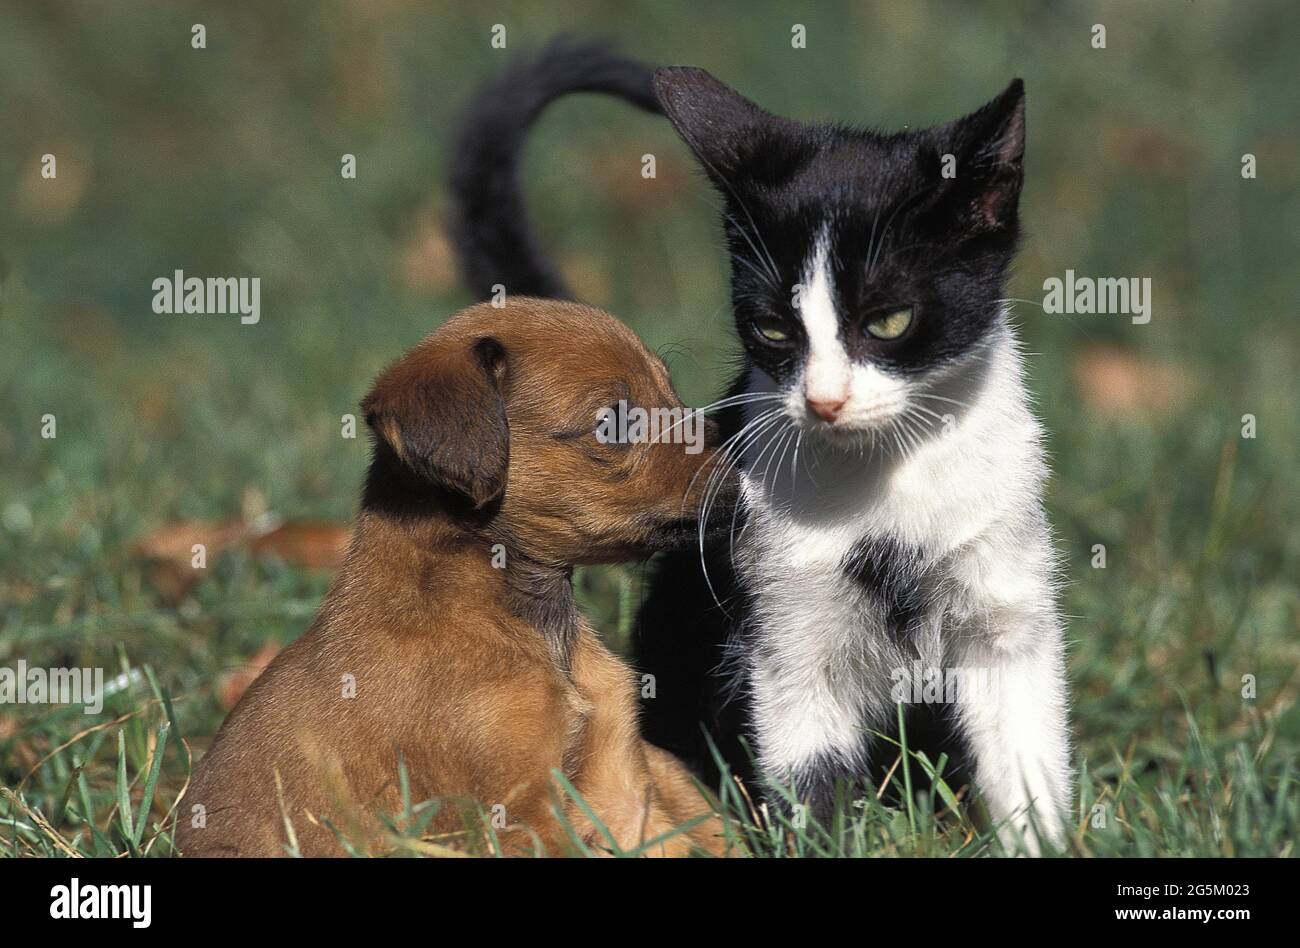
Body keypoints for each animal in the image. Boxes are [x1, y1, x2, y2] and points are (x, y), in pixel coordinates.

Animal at [452, 40, 1071, 853]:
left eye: (890, 321)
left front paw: (1046, 835)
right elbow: (809, 770)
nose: (824, 400)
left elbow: (1024, 748)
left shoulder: (1006, 598)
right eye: (773, 329)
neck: (886, 478)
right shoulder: (782, 620)